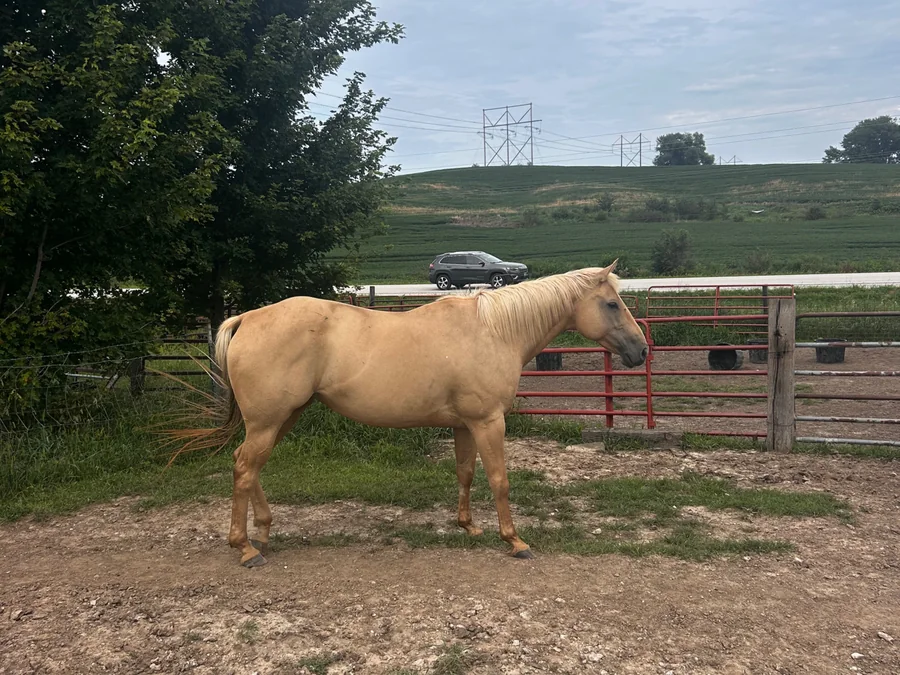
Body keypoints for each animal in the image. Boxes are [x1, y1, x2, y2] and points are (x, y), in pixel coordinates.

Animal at [168, 261, 648, 567]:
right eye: (611, 304)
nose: (641, 350)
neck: (493, 331)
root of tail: (247, 319)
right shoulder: (489, 421)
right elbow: (499, 479)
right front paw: (514, 541)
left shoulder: (465, 425)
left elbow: (465, 473)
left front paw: (469, 527)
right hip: (270, 421)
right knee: (245, 468)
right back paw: (246, 548)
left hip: (281, 418)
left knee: (249, 468)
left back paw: (263, 534)